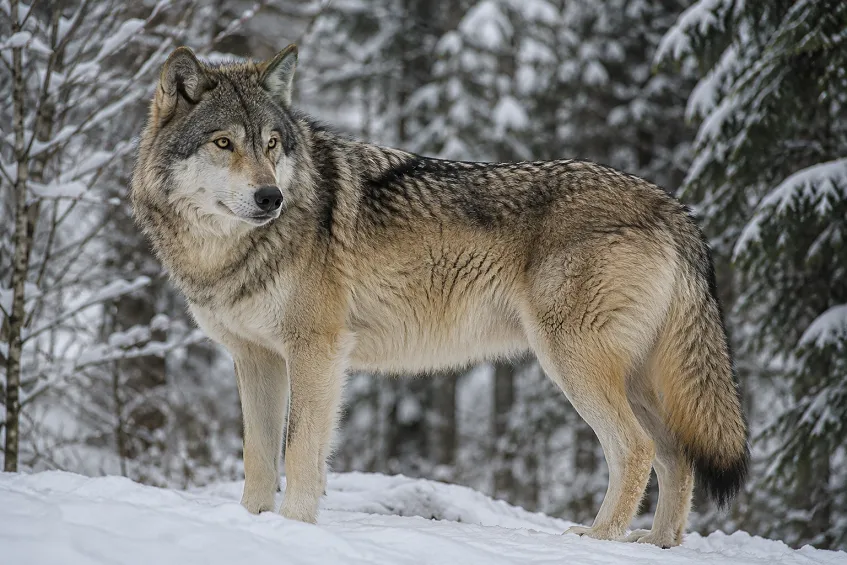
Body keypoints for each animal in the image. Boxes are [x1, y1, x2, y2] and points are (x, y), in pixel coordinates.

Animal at [131, 44, 749, 548]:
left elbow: (301, 452)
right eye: (224, 143)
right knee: (678, 458)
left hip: (573, 363)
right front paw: (255, 525)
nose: (270, 197)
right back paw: (657, 544)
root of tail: (672, 205)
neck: (230, 251)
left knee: (636, 449)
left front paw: (295, 529)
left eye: (272, 144)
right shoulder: (257, 358)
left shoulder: (317, 352)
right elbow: (259, 459)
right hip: (635, 377)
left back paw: (598, 539)